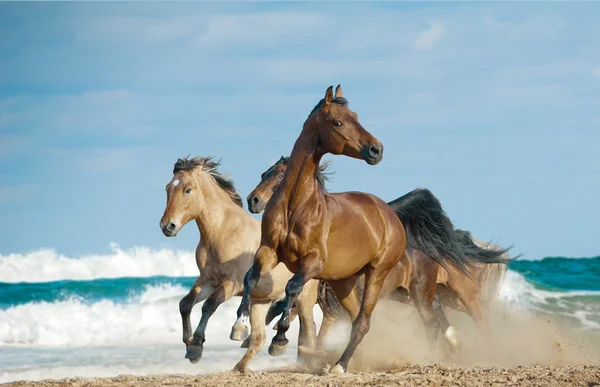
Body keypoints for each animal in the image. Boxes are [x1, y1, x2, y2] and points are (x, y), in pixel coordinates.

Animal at [158, 157, 318, 372]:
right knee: (259, 338)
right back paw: (240, 368)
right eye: (168, 188)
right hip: (260, 302)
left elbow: (209, 305)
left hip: (304, 299)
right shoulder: (208, 281)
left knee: (308, 331)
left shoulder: (233, 283)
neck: (222, 232)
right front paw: (189, 342)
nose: (168, 226)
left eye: (188, 189)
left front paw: (196, 347)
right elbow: (185, 304)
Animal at [232, 85, 504, 376]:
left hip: (397, 282)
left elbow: (292, 289)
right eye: (338, 122)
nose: (376, 149)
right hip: (349, 283)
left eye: (352, 118)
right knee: (365, 319)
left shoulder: (314, 263)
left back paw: (341, 365)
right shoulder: (269, 251)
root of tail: (390, 215)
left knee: (372, 322)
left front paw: (280, 339)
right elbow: (251, 278)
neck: (297, 206)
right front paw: (240, 327)